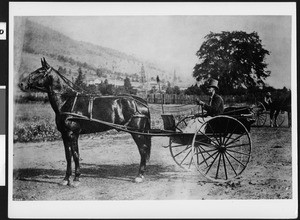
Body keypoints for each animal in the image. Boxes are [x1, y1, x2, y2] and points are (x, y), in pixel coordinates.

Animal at [18, 58, 152, 186]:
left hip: (137, 133)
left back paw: (139, 176)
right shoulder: (64, 135)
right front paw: (66, 179)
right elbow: (68, 156)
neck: (67, 101)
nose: (21, 84)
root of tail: (141, 101)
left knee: (143, 150)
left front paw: (76, 179)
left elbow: (76, 155)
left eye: (39, 71)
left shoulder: (73, 134)